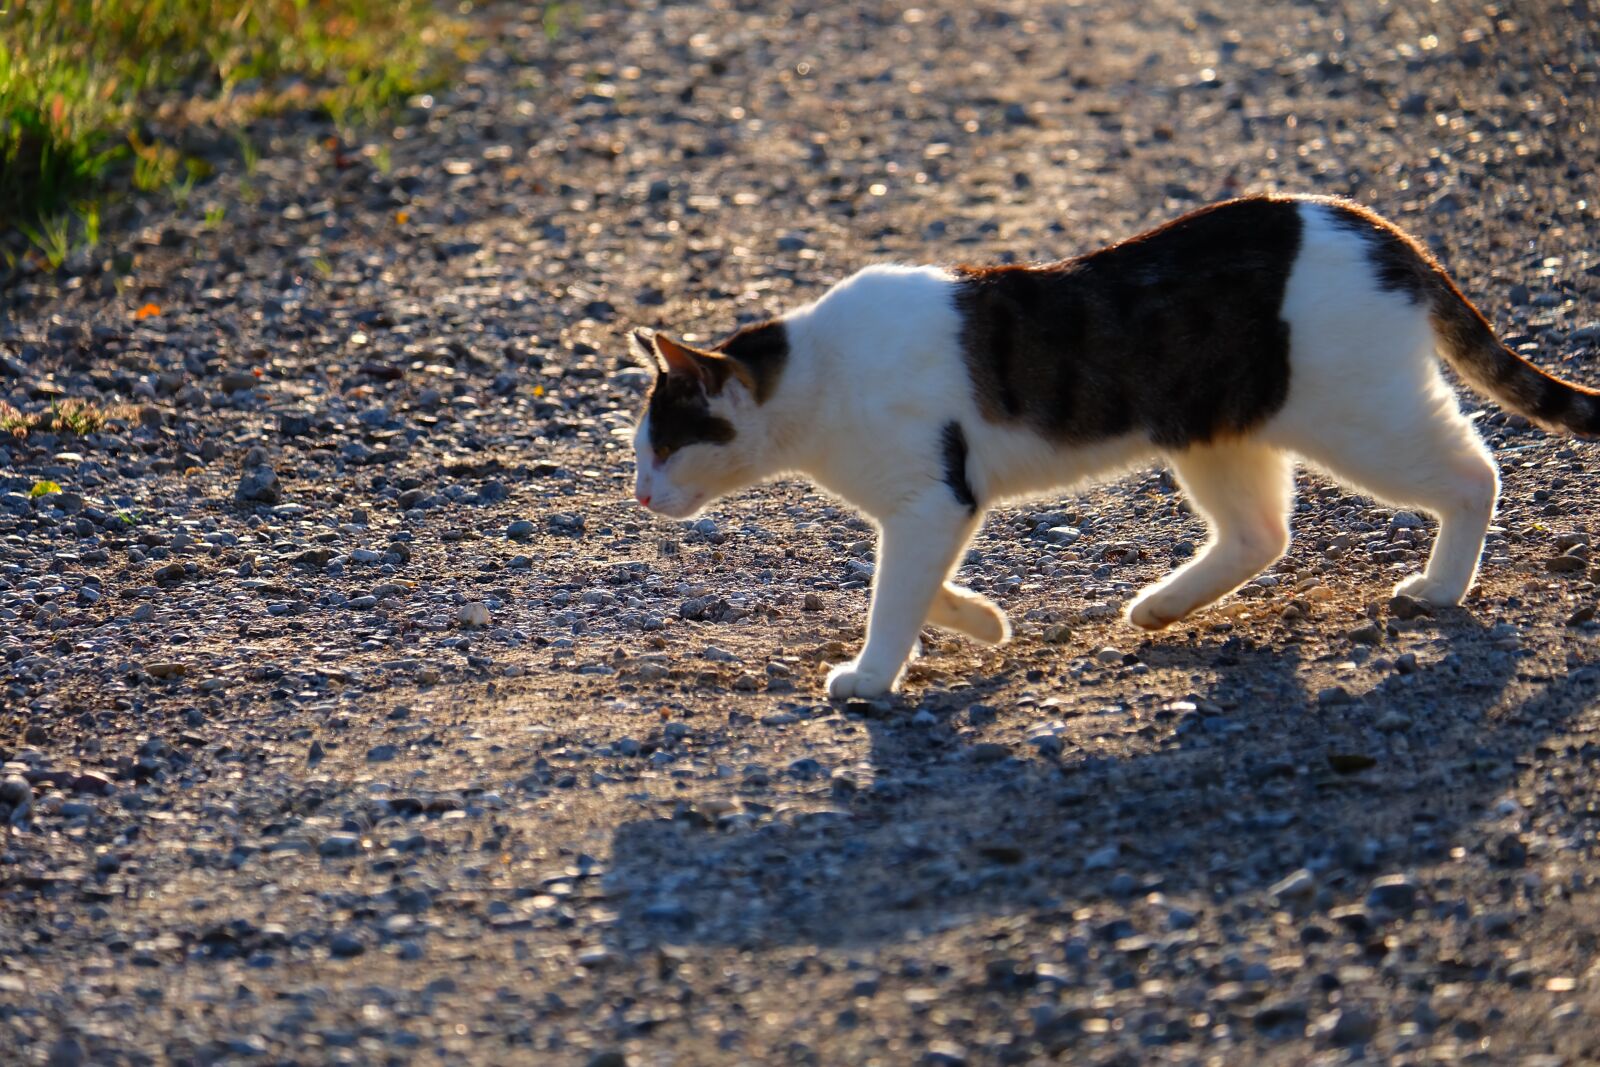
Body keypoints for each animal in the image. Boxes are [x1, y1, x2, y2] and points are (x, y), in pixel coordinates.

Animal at [624, 195, 1600, 700]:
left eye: (663, 446)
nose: (636, 494)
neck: (817, 377)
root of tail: (1371, 221)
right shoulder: (933, 507)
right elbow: (914, 582)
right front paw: (985, 623)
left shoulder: (932, 496)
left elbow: (895, 592)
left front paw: (869, 676)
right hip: (1218, 434)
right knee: (1262, 534)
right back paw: (1161, 607)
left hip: (1362, 416)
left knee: (1474, 472)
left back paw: (1440, 587)